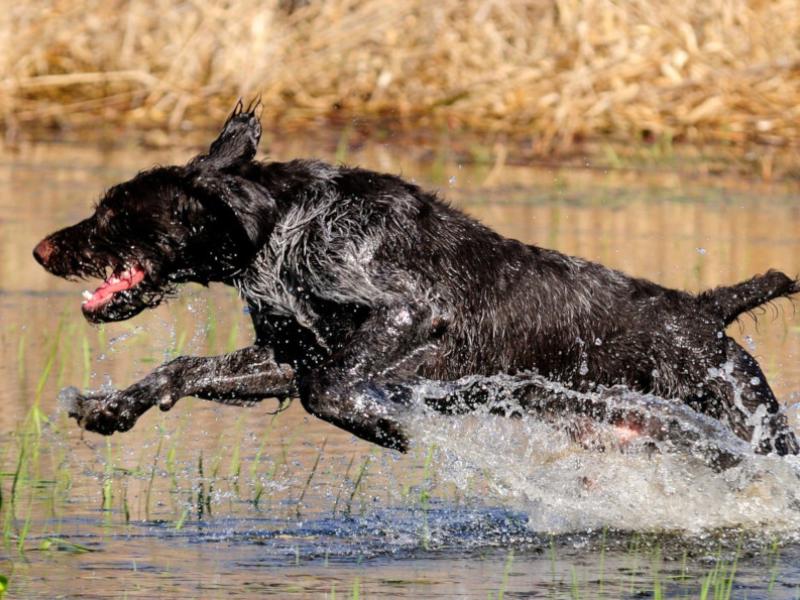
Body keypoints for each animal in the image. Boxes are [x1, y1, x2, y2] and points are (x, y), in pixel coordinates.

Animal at [32, 102, 800, 460]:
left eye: (113, 213)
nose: (40, 249)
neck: (279, 227)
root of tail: (705, 309)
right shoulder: (287, 355)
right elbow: (183, 369)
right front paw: (111, 408)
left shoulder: (406, 315)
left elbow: (325, 392)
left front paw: (386, 430)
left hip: (754, 423)